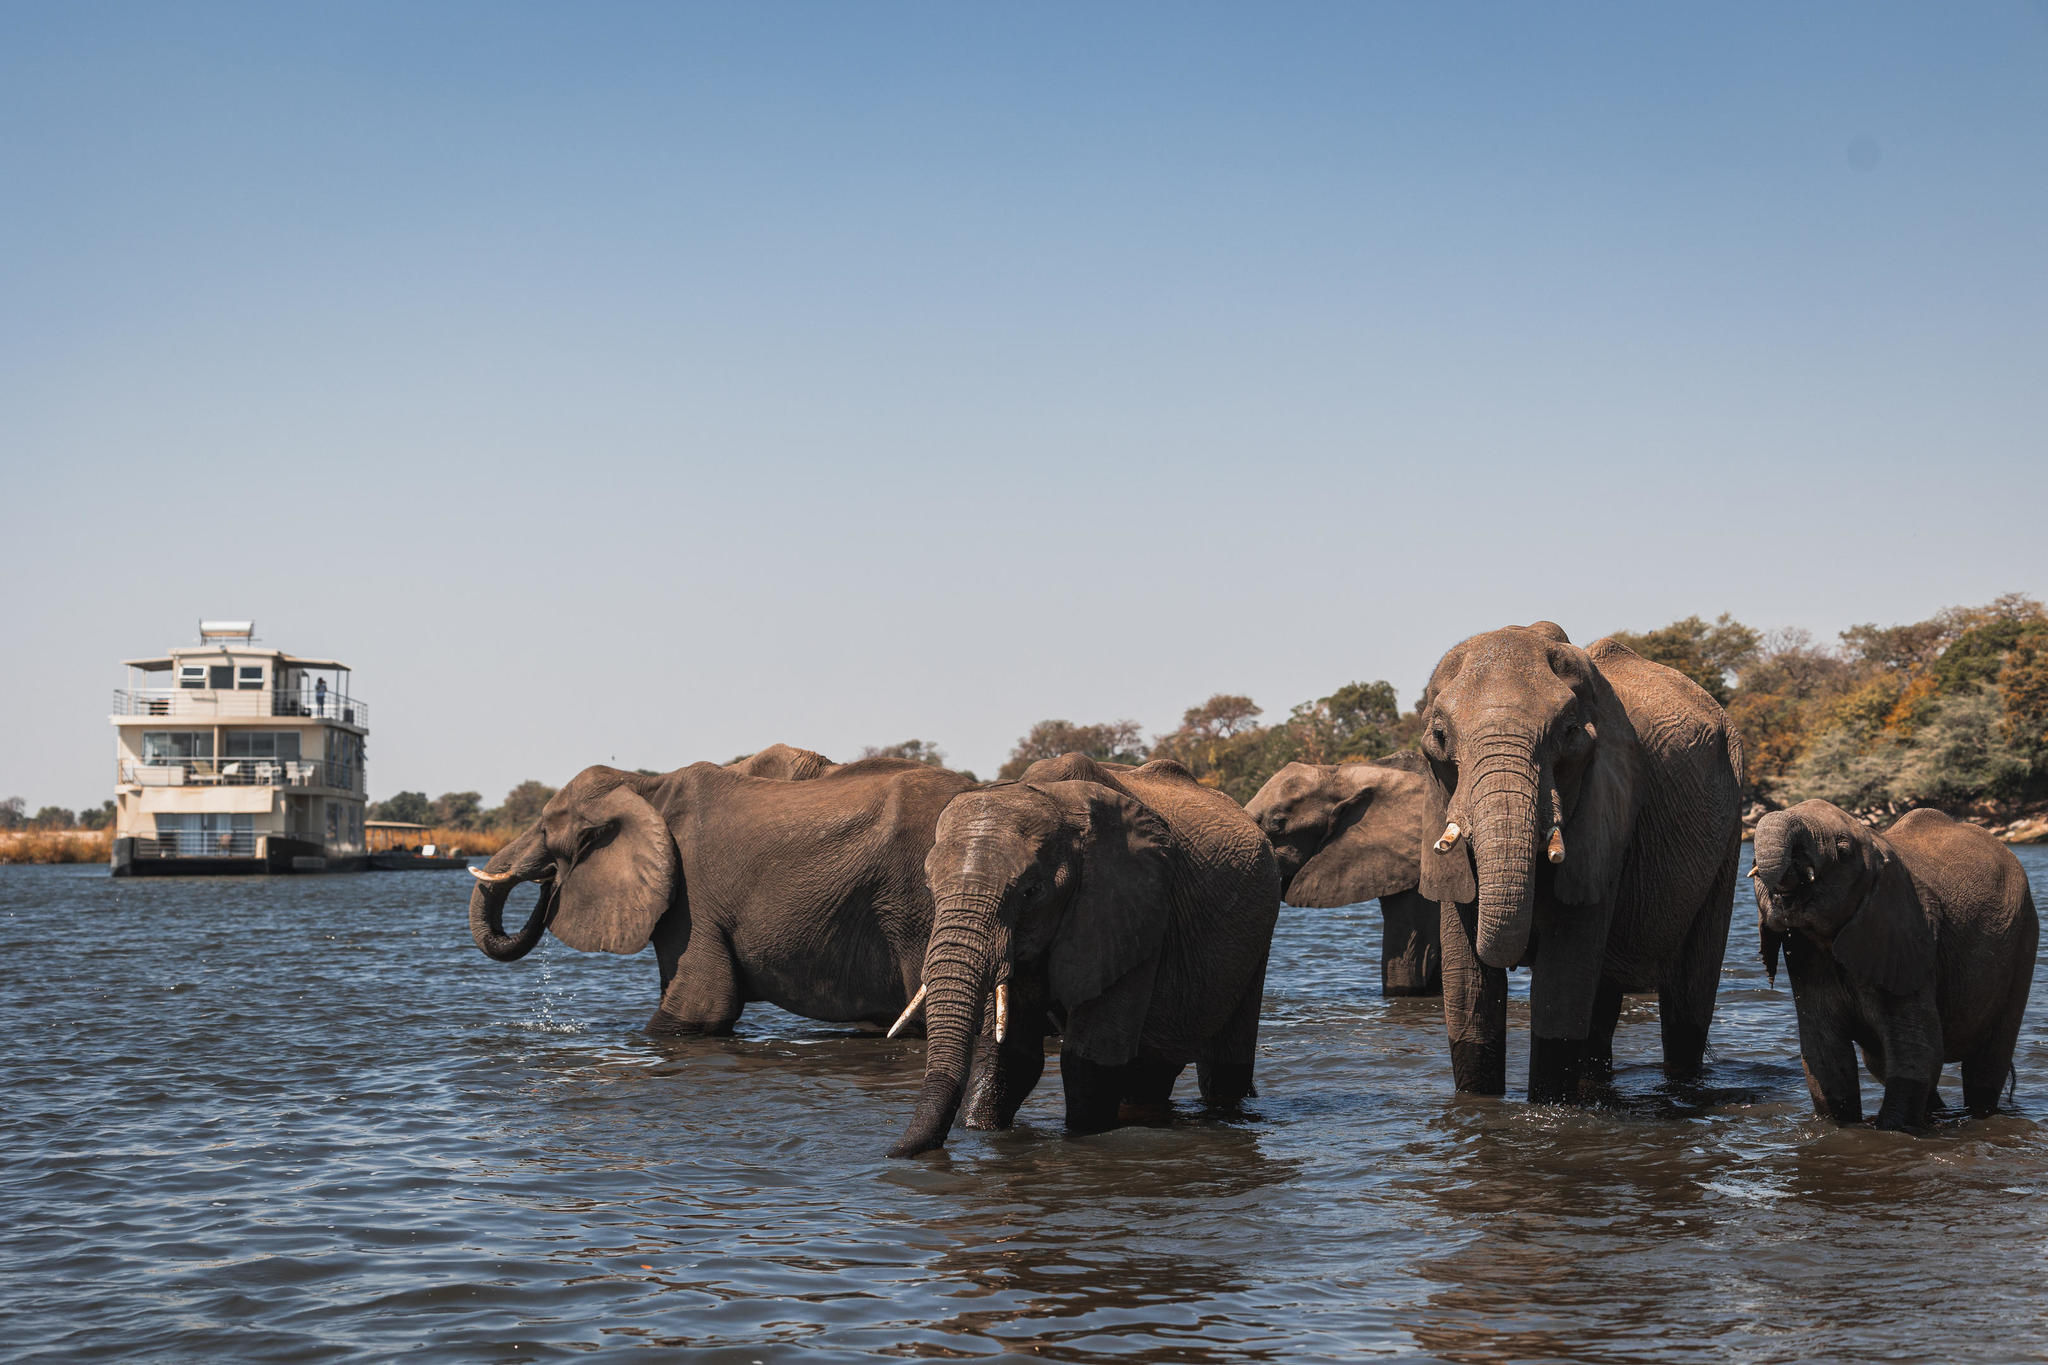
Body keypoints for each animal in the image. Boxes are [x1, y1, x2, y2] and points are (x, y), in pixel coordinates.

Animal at [466, 757, 977, 1034]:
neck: (645, 786)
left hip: (913, 902)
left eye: (545, 829)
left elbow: (700, 1007)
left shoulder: (692, 898)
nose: (548, 881)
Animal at [889, 754, 1281, 1157]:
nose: (891, 1152)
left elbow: (1089, 1060)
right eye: (929, 888)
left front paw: (1084, 1135)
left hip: (1258, 929)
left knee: (1223, 1066)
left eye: (1031, 891)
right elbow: (1010, 1056)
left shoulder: (1133, 909)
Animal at [1416, 622, 1744, 1101]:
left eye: (1569, 734)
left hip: (1731, 825)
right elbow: (1467, 989)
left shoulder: (1607, 811)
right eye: (1440, 738)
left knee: (1688, 1000)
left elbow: (1562, 988)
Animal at [1752, 801, 2037, 1129]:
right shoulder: (1806, 955)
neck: (1877, 843)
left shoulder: (1909, 940)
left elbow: (1918, 1051)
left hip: (2024, 938)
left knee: (1986, 1066)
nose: (1796, 864)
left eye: (1843, 849)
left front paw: (1891, 1128)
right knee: (1878, 1061)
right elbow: (1825, 1055)